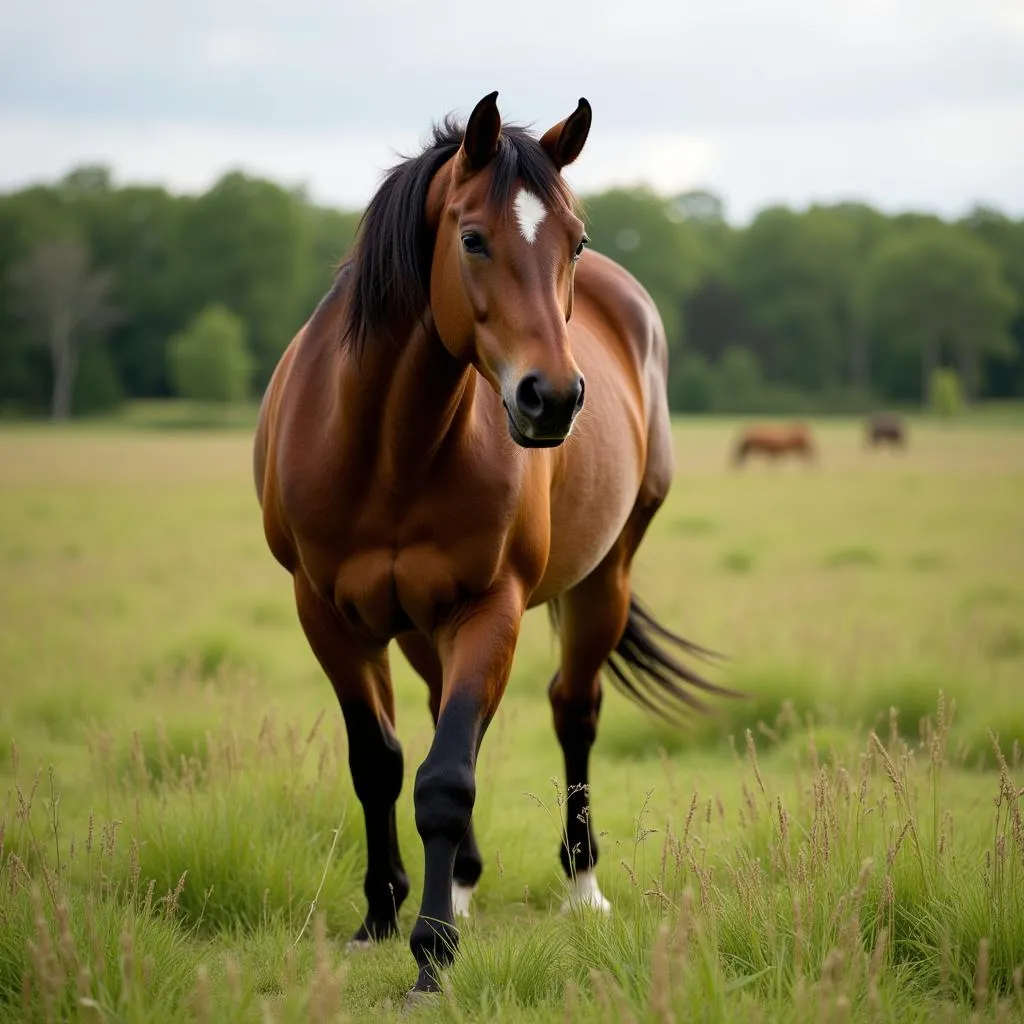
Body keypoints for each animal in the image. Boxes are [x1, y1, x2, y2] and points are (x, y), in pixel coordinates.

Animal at [256, 92, 737, 995]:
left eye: (574, 240)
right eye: (473, 238)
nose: (553, 397)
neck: (386, 448)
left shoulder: (492, 605)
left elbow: (447, 777)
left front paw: (432, 953)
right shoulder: (327, 613)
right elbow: (379, 761)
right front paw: (381, 917)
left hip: (601, 582)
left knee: (573, 710)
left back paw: (582, 885)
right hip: (418, 624)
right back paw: (465, 883)